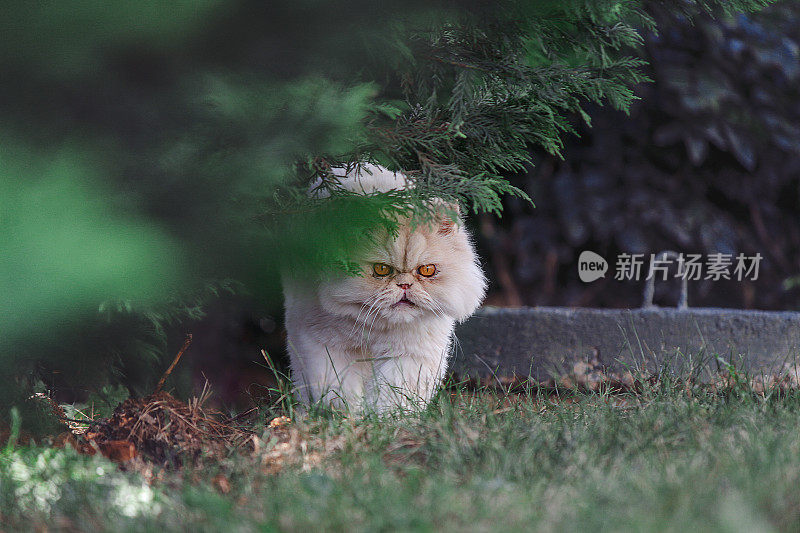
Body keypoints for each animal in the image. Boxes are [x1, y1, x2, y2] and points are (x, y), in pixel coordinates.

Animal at [286, 164, 488, 414]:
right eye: (382, 269)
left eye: (427, 270)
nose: (404, 285)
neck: (378, 329)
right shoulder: (326, 346)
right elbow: (340, 390)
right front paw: (350, 416)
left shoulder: (408, 357)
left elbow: (393, 398)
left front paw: (386, 420)